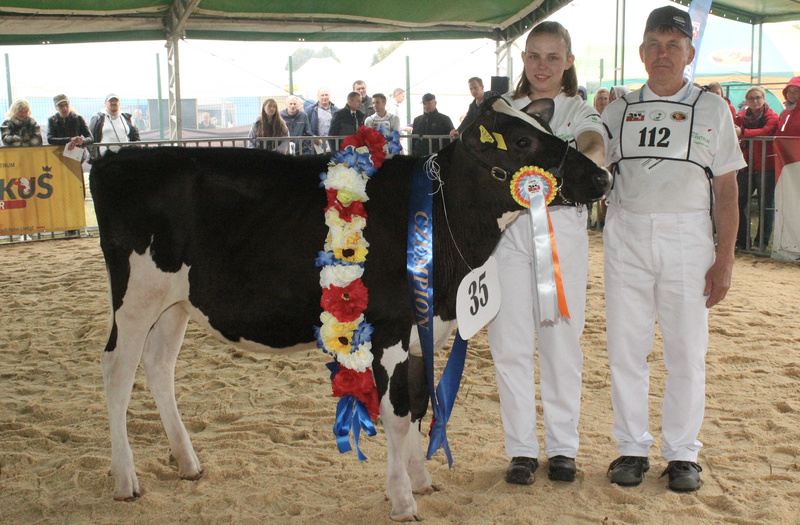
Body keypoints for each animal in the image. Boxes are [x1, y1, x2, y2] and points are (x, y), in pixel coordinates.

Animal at [89, 97, 612, 520]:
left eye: (548, 129)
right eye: (523, 140)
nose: (603, 174)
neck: (440, 218)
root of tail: (117, 159)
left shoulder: (421, 327)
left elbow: (418, 406)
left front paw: (421, 480)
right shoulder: (389, 328)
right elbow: (397, 414)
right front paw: (402, 499)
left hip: (174, 302)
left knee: (158, 367)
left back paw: (187, 462)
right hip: (135, 296)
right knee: (116, 369)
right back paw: (125, 479)